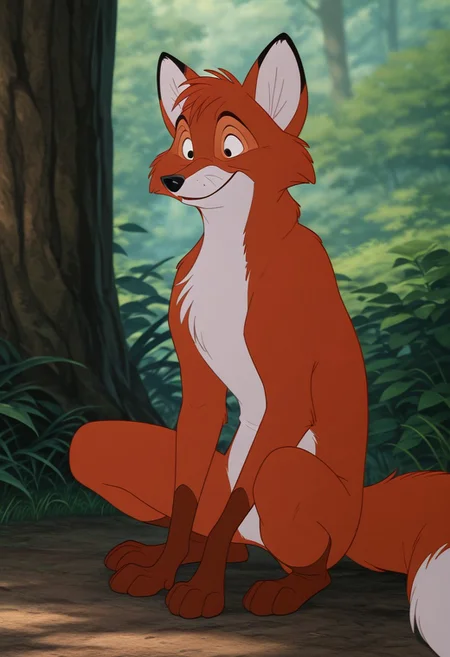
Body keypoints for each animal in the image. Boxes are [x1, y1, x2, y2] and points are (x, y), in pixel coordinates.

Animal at [69, 34, 450, 656]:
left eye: (229, 145)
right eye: (183, 143)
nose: (172, 179)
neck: (229, 257)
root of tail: (363, 510)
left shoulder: (287, 394)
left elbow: (231, 505)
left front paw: (201, 594)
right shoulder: (200, 391)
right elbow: (185, 499)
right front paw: (162, 573)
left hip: (290, 479)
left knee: (312, 562)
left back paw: (281, 590)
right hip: (108, 448)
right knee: (227, 533)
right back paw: (173, 555)